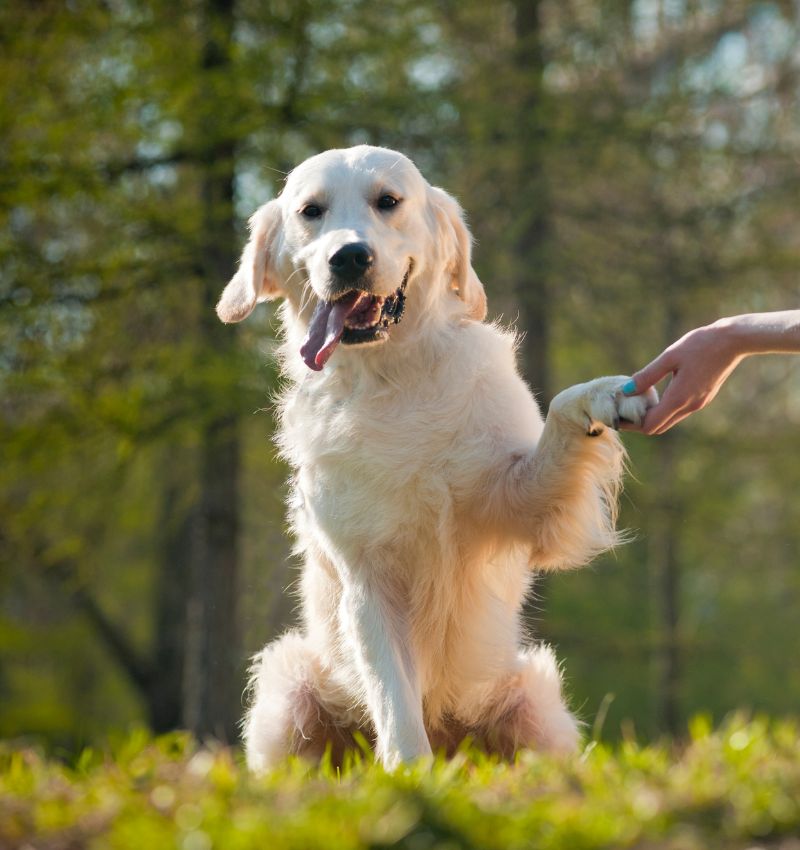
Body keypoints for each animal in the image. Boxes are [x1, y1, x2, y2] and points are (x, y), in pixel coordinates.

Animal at [214, 146, 656, 768]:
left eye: (388, 201)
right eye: (310, 211)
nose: (350, 256)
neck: (393, 376)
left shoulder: (520, 503)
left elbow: (562, 414)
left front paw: (608, 394)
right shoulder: (367, 578)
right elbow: (394, 696)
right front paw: (410, 773)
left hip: (535, 702)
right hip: (287, 687)